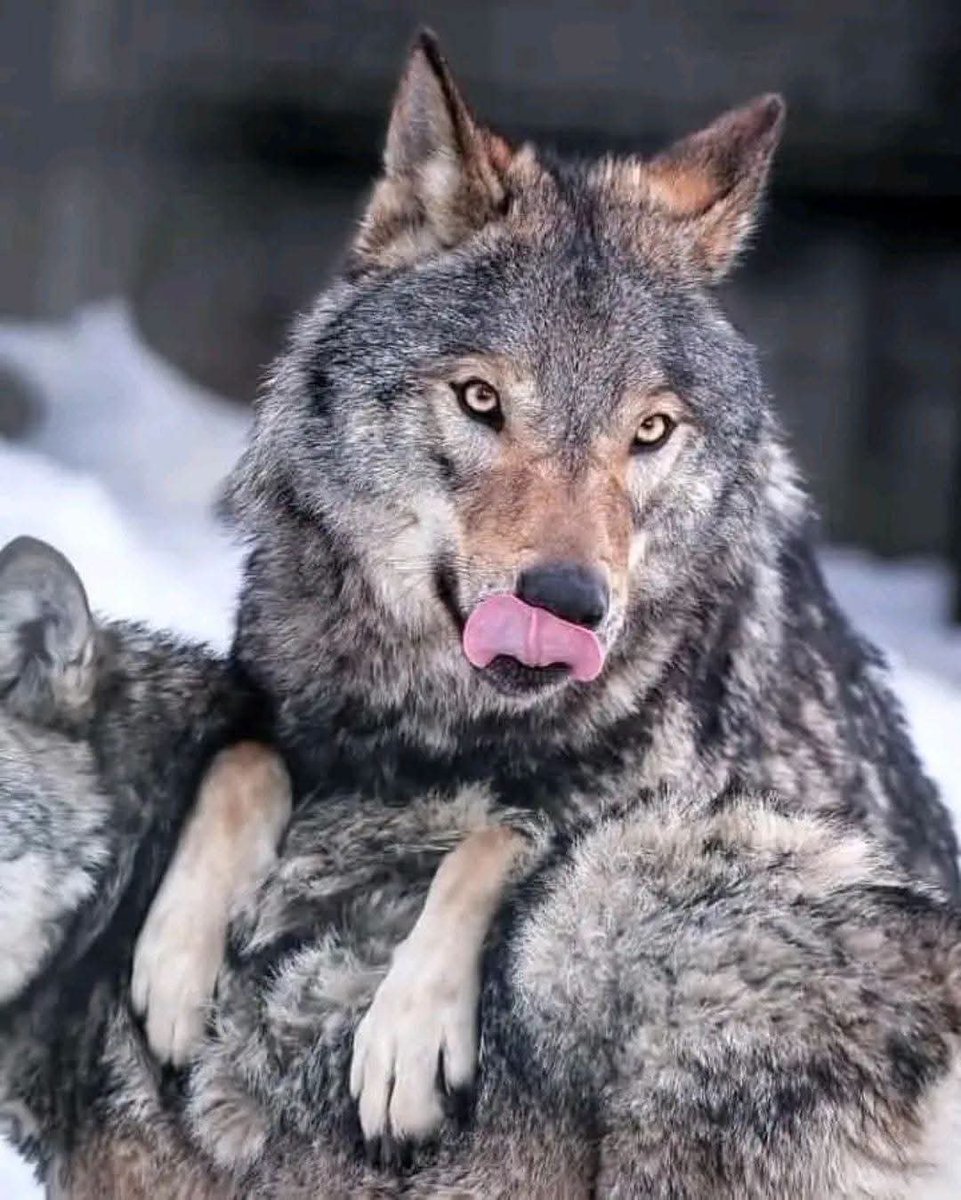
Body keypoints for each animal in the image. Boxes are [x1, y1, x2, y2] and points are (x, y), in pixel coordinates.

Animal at [2, 30, 961, 1199]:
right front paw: (178, 959)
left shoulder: (640, 810)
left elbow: (502, 834)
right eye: (480, 400)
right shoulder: (281, 709)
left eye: (649, 430)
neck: (438, 722)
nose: (569, 602)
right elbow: (243, 760)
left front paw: (405, 1034)